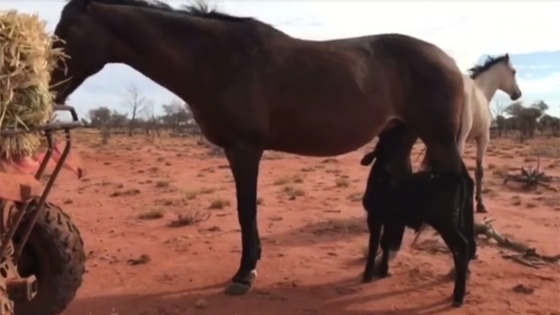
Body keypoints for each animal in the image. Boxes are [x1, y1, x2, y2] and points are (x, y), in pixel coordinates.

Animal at [51, 0, 472, 296]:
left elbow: (245, 210)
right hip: (401, 137)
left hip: (440, 139)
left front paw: (244, 273)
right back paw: (387, 262)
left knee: (463, 185)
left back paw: (460, 263)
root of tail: (450, 62)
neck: (216, 59)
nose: (51, 89)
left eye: (66, 31)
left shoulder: (244, 148)